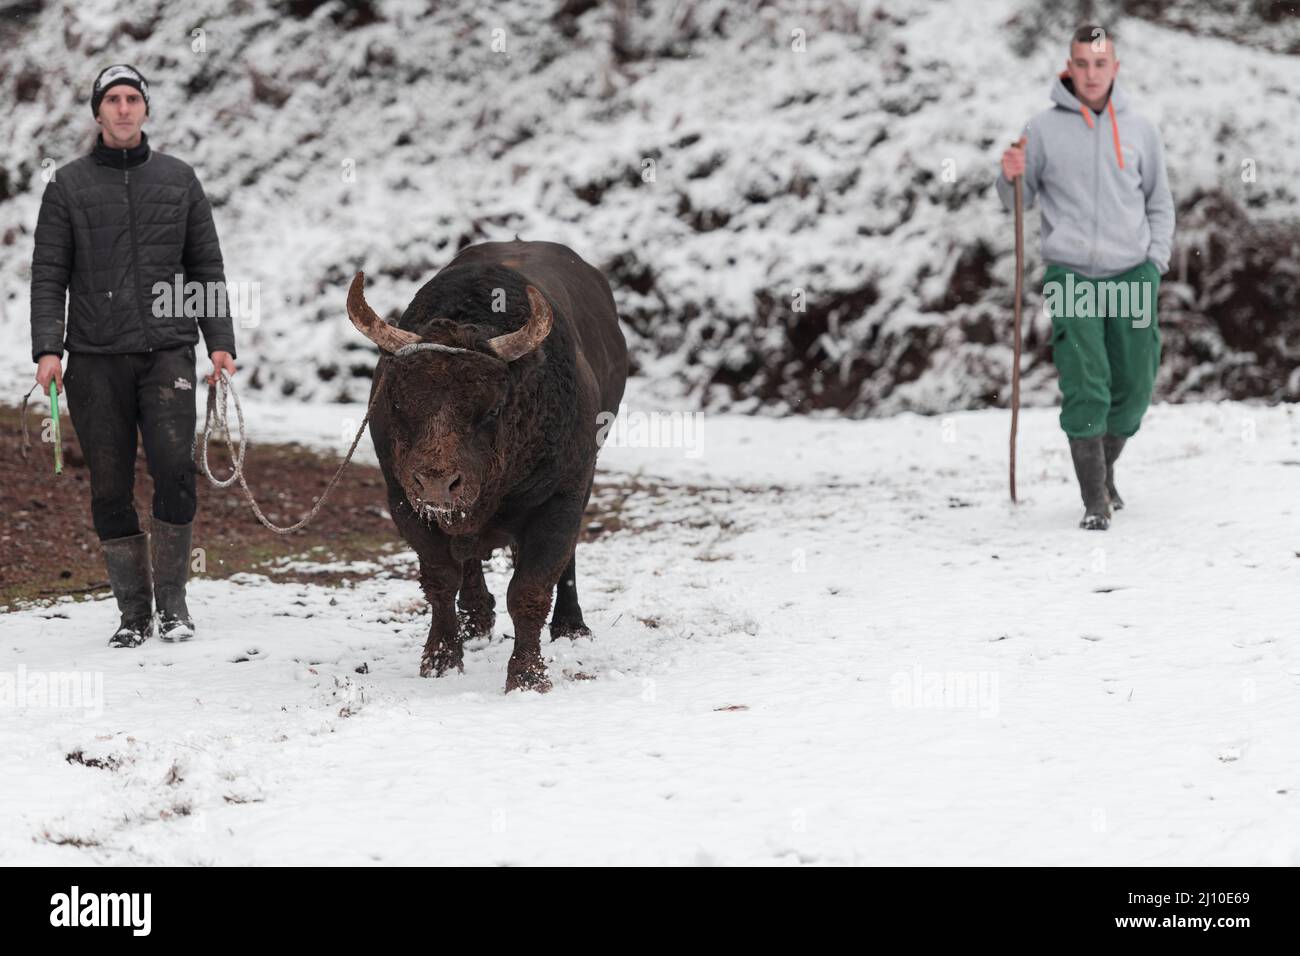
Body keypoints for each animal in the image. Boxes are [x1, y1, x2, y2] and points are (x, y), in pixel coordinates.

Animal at [346, 239, 628, 692]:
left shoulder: (561, 497)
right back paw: (476, 617)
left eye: (493, 408)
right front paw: (441, 659)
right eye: (398, 404)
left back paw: (571, 624)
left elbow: (530, 589)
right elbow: (441, 579)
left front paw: (528, 676)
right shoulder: (403, 501)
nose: (437, 483)